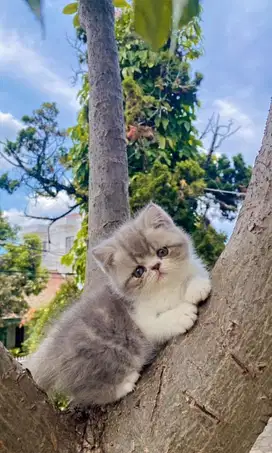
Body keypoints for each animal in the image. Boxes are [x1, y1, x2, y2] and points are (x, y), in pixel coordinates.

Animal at [25, 203, 211, 404]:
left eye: (162, 252)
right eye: (138, 271)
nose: (155, 266)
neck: (167, 288)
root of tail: (49, 353)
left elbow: (194, 275)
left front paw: (197, 286)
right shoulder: (140, 319)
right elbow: (157, 323)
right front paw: (181, 315)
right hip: (95, 357)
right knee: (84, 389)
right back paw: (122, 385)